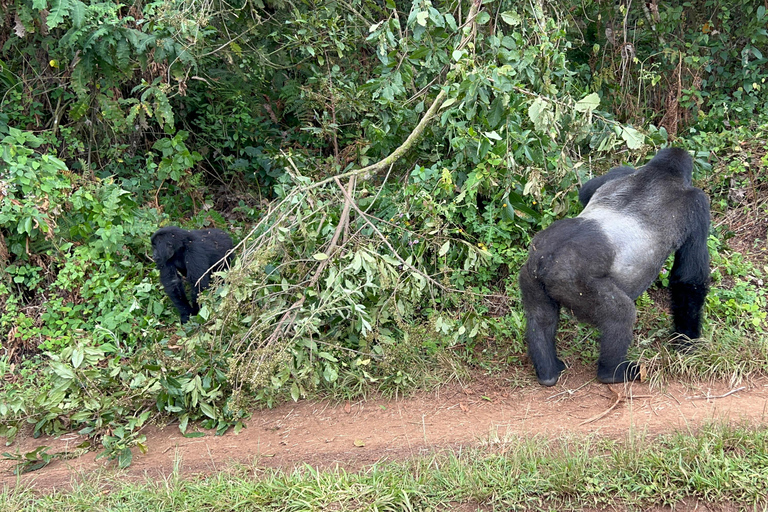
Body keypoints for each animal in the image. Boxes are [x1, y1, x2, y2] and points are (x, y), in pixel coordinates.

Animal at [520, 146, 712, 386]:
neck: (660, 172)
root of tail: (548, 257)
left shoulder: (621, 171)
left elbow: (586, 190)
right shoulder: (697, 203)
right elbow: (689, 280)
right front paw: (687, 342)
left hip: (531, 272)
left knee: (540, 316)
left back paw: (548, 372)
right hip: (573, 282)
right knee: (621, 314)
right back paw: (614, 372)